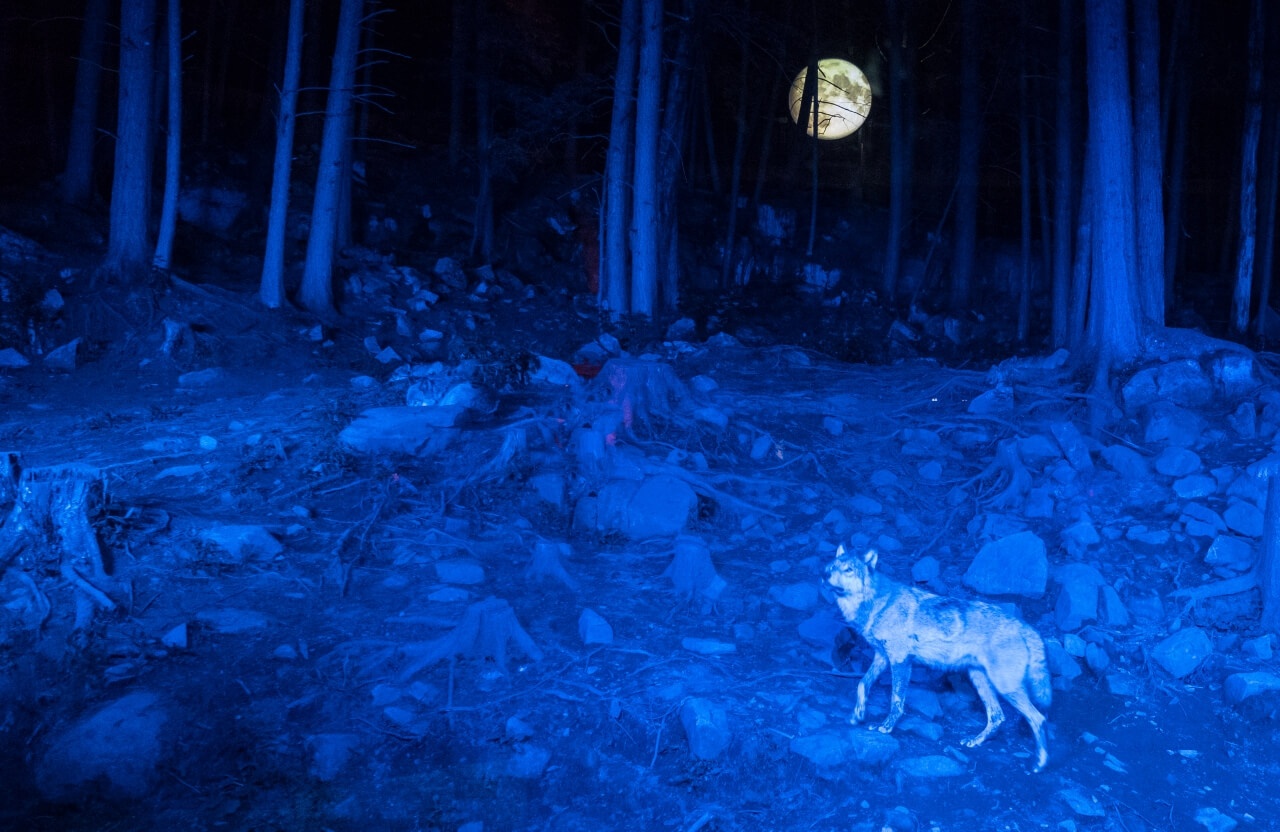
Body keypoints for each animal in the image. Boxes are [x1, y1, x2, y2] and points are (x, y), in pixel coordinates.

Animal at [825, 545, 1052, 772]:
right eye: (832, 566)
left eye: (848, 570)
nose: (825, 575)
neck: (877, 604)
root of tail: (1024, 626)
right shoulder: (882, 657)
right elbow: (862, 685)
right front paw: (857, 716)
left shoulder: (900, 660)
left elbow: (896, 701)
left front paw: (887, 726)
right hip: (980, 680)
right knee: (998, 717)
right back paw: (975, 741)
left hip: (1005, 687)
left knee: (1038, 718)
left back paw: (1039, 763)